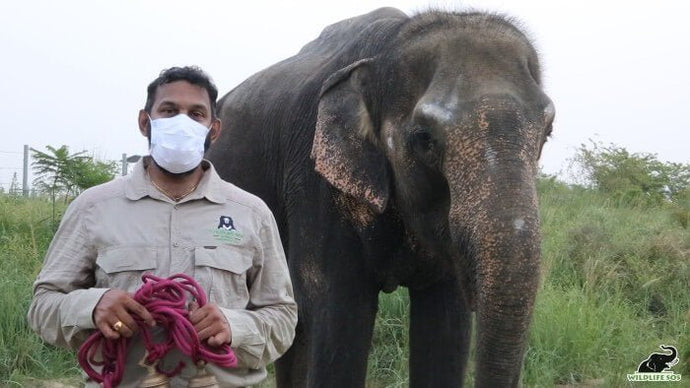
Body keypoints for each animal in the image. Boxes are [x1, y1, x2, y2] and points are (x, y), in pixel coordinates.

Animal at [206, 6, 552, 388]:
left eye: (547, 133)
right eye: (424, 139)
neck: (391, 43)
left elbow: (446, 327)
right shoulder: (315, 183)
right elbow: (340, 319)